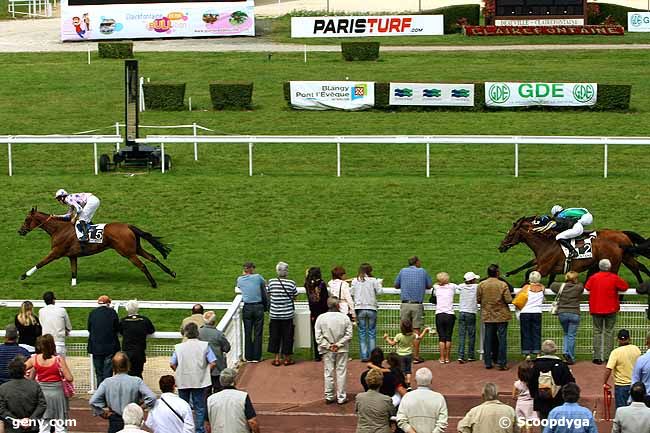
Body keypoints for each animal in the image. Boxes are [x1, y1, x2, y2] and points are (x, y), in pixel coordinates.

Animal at [17, 207, 175, 286]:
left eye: (27, 219)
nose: (20, 231)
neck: (59, 229)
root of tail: (128, 226)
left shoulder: (56, 252)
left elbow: (40, 263)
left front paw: (24, 275)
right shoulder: (72, 256)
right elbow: (74, 271)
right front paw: (73, 285)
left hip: (127, 252)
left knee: (142, 265)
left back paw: (153, 283)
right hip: (136, 248)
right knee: (152, 257)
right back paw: (171, 272)